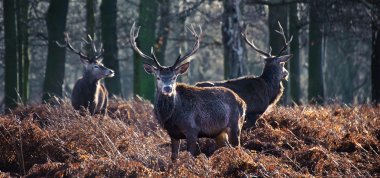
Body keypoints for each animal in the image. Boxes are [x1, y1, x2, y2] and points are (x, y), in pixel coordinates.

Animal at [131, 22, 246, 160]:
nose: (168, 88)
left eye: (174, 77)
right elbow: (174, 157)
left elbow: (191, 155)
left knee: (238, 147)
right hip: (219, 133)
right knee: (226, 147)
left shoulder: (192, 130)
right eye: (157, 77)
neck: (171, 117)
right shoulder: (173, 134)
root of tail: (243, 102)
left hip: (236, 125)